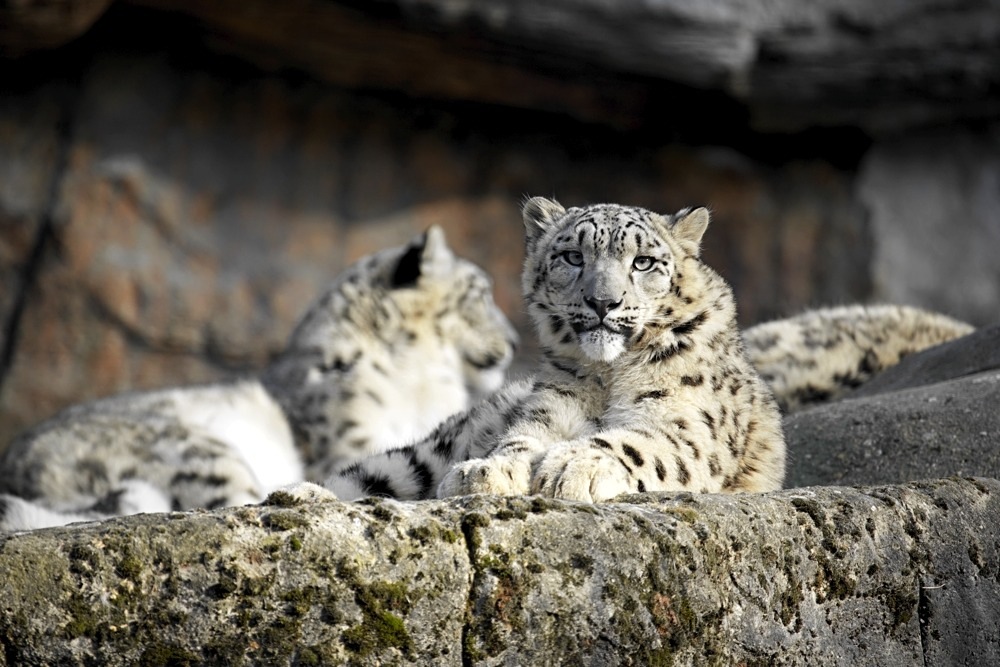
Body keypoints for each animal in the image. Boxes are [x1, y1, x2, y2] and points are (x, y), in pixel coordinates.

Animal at [292, 196, 784, 504]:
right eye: (573, 257)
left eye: (643, 262)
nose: (602, 302)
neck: (607, 376)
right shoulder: (551, 410)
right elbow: (520, 440)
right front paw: (485, 471)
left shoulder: (686, 427)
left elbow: (637, 443)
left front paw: (574, 467)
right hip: (425, 452)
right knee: (371, 474)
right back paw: (302, 496)